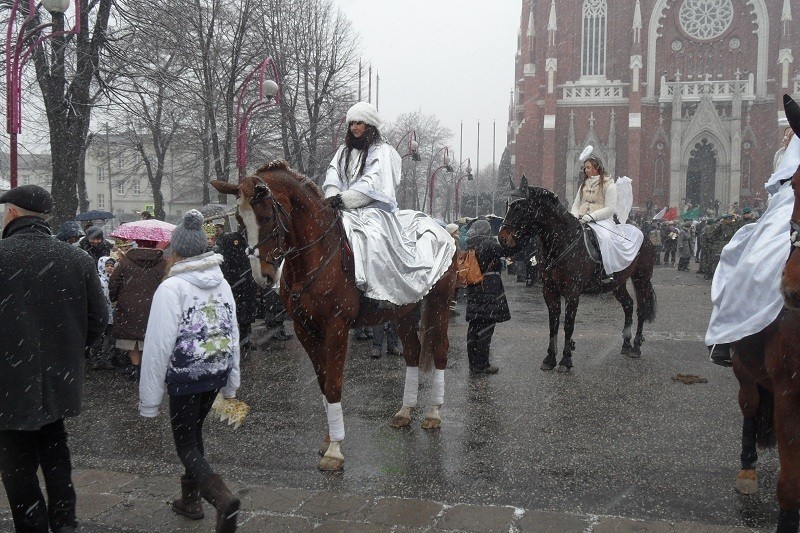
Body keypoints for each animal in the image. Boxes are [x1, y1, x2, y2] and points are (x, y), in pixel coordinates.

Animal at [211, 161, 456, 470]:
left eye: (266, 217)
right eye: (239, 221)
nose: (263, 277)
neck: (314, 257)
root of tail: (443, 228)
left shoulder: (336, 328)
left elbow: (334, 383)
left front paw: (335, 449)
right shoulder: (305, 329)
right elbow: (323, 382)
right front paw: (329, 439)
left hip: (439, 303)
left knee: (440, 350)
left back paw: (434, 413)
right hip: (405, 309)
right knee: (413, 352)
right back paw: (405, 410)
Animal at [500, 186, 656, 370]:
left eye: (519, 207)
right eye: (507, 205)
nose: (502, 238)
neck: (561, 244)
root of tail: (643, 234)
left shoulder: (572, 293)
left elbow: (568, 324)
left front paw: (566, 359)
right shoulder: (549, 291)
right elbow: (553, 323)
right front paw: (550, 358)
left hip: (641, 280)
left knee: (641, 308)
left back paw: (636, 347)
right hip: (618, 283)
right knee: (628, 305)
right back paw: (626, 343)